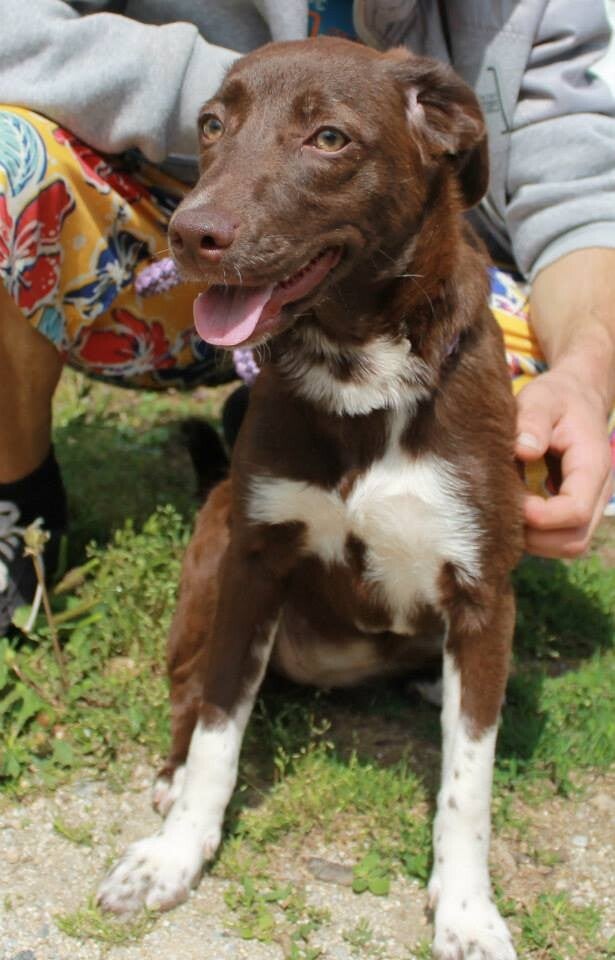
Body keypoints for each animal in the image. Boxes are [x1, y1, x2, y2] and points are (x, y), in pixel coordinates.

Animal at [98, 37, 524, 960]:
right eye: (211, 124)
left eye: (328, 138)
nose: (191, 235)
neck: (362, 374)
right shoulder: (255, 558)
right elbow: (218, 731)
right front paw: (175, 857)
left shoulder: (483, 595)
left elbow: (466, 783)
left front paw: (467, 911)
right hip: (211, 549)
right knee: (186, 690)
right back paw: (167, 777)